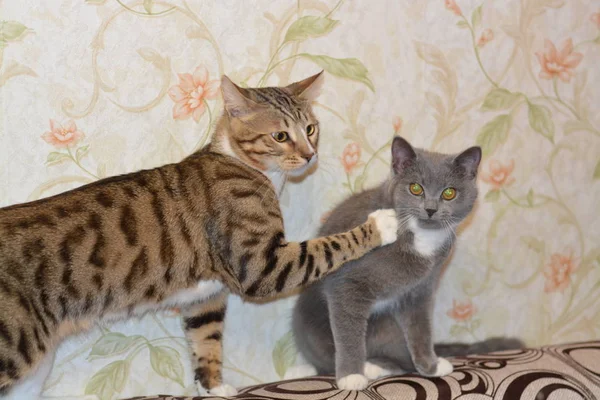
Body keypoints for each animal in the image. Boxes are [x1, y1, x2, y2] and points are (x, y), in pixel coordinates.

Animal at [0, 71, 398, 396]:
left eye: (311, 128)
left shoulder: (205, 297)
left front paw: (214, 388)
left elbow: (206, 341)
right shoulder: (260, 266)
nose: (310, 154)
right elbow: (324, 247)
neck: (245, 165)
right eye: (280, 135)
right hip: (14, 349)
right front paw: (381, 225)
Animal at [290, 138, 520, 390]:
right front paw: (351, 376)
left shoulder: (420, 290)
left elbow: (421, 329)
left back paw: (381, 365)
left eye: (449, 192)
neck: (421, 236)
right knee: (326, 355)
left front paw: (431, 366)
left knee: (400, 358)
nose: (430, 209)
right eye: (415, 188)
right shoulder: (347, 284)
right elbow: (348, 332)